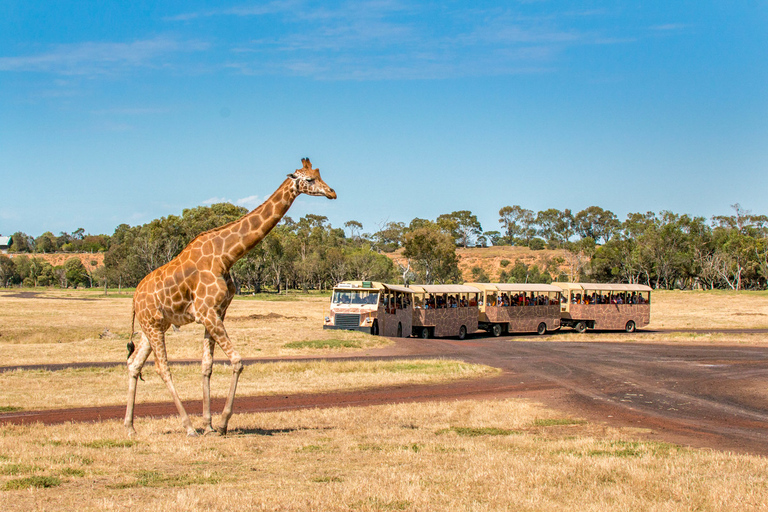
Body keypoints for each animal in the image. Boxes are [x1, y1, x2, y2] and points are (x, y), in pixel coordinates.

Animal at [125, 157, 336, 436]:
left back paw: (129, 427)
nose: (332, 192)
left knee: (134, 364)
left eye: (320, 175)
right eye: (310, 179)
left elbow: (207, 366)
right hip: (152, 325)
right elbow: (237, 361)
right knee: (163, 368)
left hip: (156, 326)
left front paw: (209, 424)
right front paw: (223, 422)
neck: (226, 256)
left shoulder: (216, 313)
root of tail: (134, 299)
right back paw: (188, 426)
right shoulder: (207, 312)